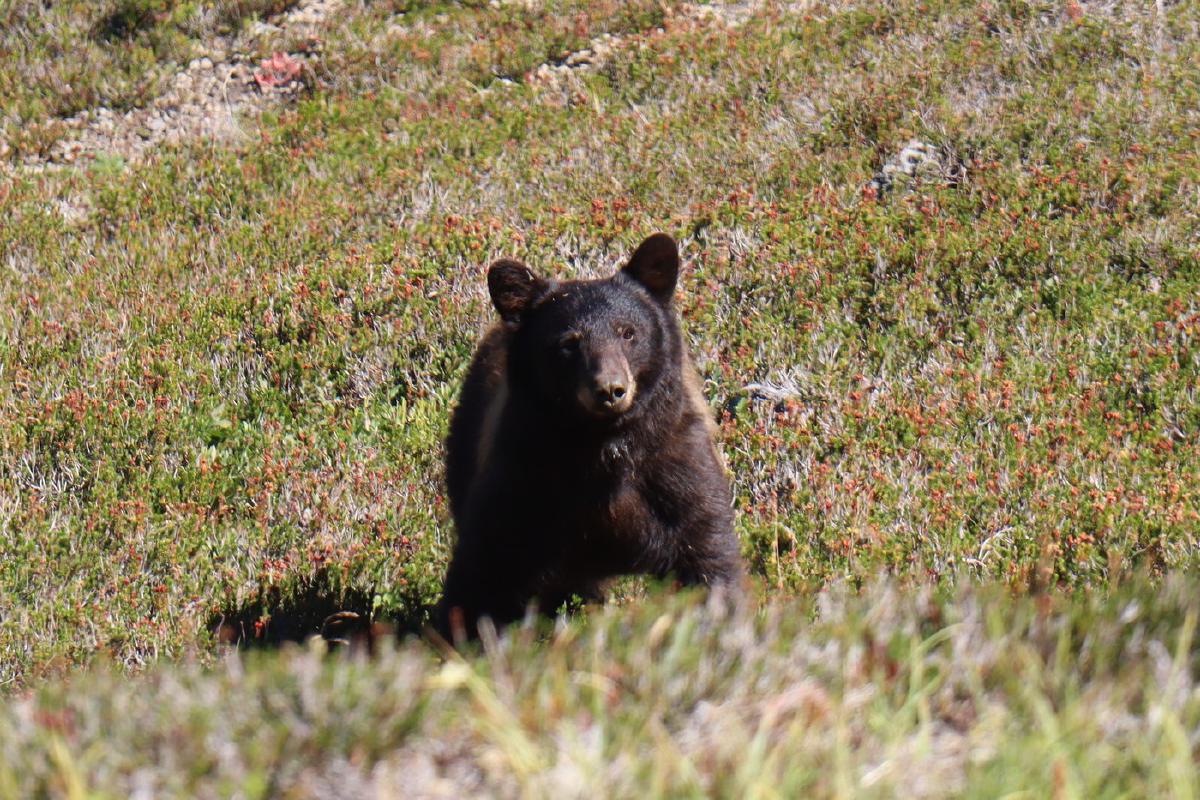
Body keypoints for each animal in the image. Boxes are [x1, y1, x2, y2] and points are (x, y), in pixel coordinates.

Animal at [436, 235, 744, 642]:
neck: (601, 448)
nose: (610, 389)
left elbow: (707, 552)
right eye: (569, 342)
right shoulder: (523, 474)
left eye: (628, 332)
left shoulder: (676, 469)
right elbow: (484, 565)